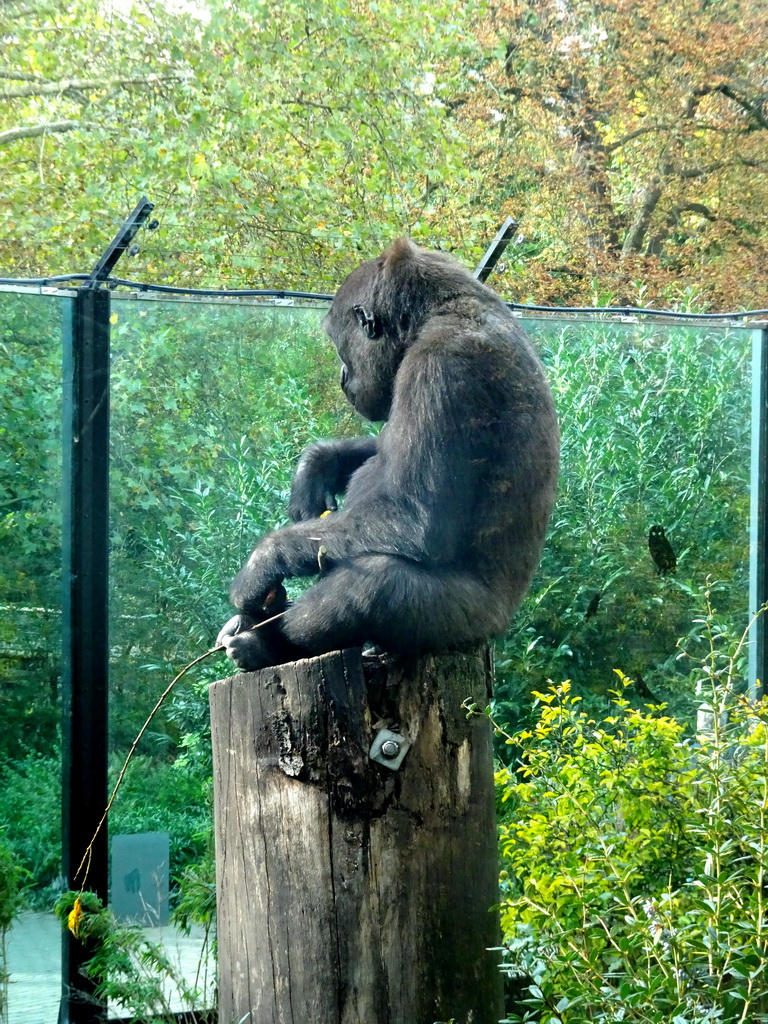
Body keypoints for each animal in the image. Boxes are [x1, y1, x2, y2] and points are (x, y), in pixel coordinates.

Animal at [217, 239, 561, 671]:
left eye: (340, 347)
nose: (342, 377)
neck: (438, 311)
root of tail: (501, 626)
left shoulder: (441, 365)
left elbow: (414, 519)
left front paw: (263, 561)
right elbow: (381, 447)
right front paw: (318, 464)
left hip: (469, 623)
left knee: (375, 584)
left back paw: (266, 643)